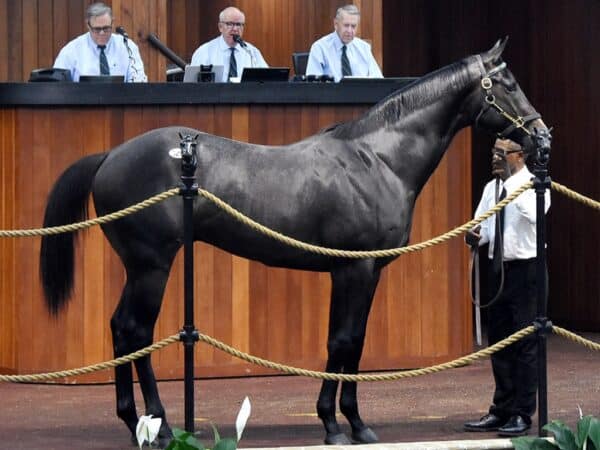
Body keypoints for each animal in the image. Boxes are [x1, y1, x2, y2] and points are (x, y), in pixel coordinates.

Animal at [38, 39, 548, 446]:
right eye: (508, 84)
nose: (542, 136)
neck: (377, 159)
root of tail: (110, 156)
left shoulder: (362, 272)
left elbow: (353, 343)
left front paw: (352, 423)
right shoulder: (353, 269)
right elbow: (342, 341)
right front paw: (339, 425)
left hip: (141, 268)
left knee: (122, 330)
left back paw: (135, 421)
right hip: (151, 267)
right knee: (134, 331)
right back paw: (158, 426)